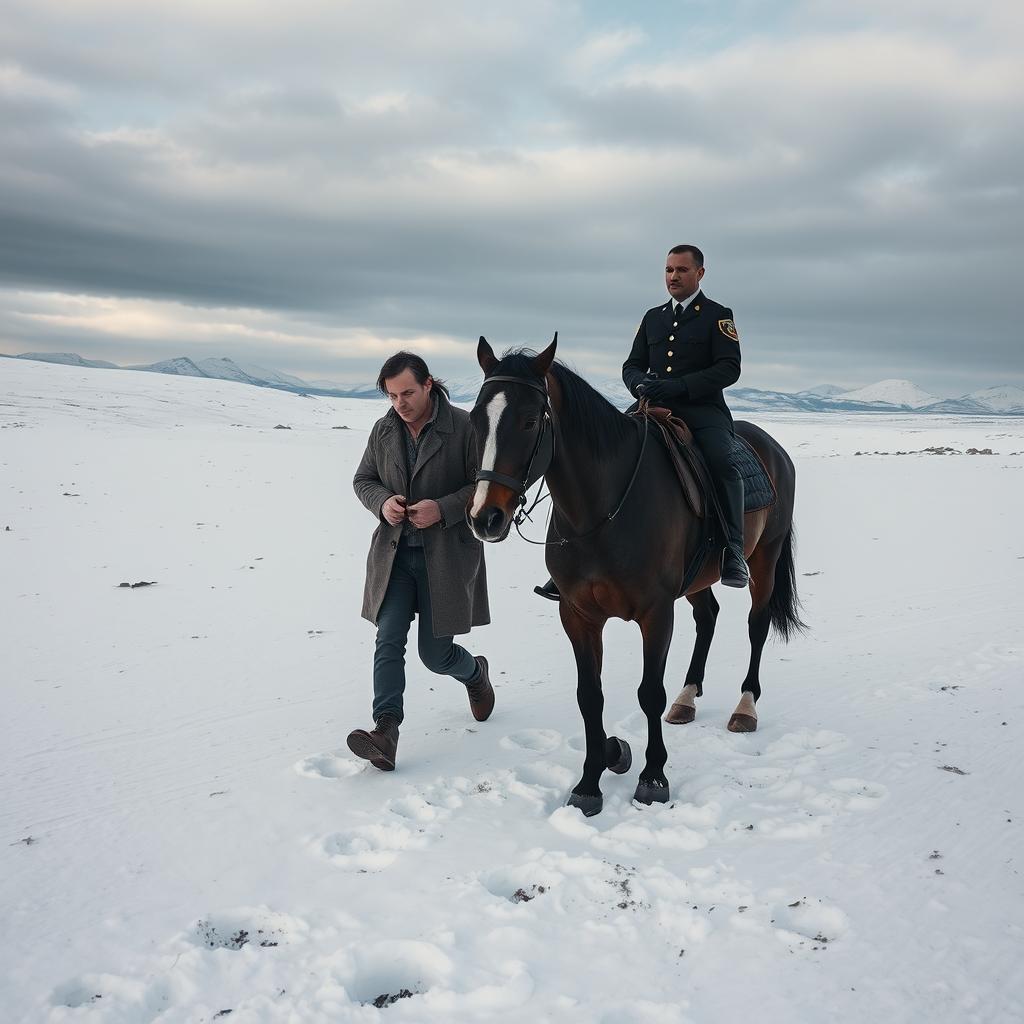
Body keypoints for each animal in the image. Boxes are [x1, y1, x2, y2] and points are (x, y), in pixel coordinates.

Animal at [468, 335, 802, 815]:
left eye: (530, 420)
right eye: (476, 419)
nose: (485, 518)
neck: (601, 509)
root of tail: (774, 448)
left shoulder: (656, 612)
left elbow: (649, 693)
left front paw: (653, 777)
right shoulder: (578, 615)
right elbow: (589, 696)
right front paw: (593, 776)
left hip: (764, 559)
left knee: (756, 625)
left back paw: (745, 708)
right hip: (697, 579)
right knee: (708, 617)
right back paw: (687, 698)